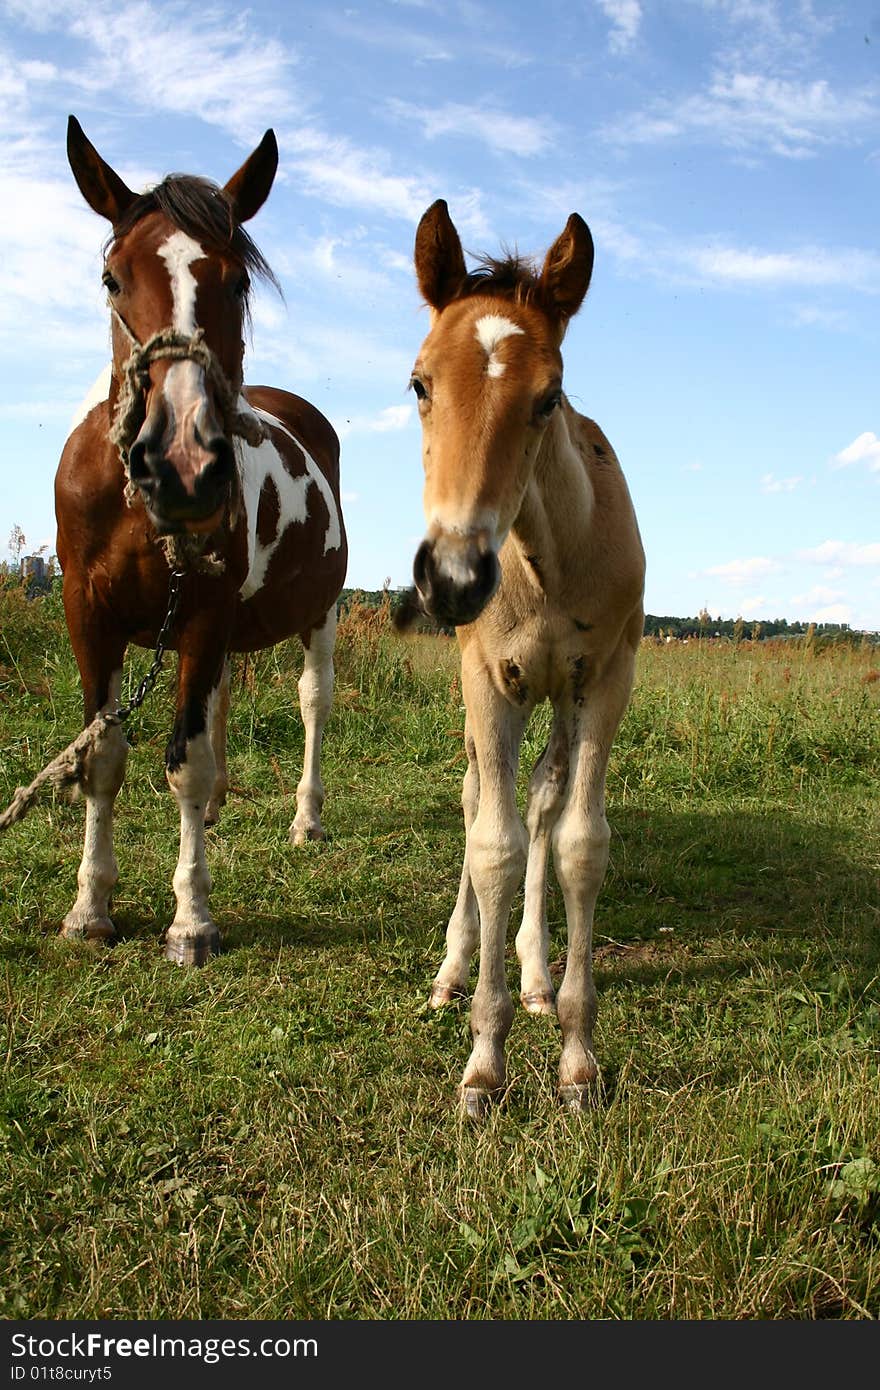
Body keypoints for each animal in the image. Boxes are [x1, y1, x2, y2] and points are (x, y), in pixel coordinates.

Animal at [54, 116, 346, 967]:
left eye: (238, 281)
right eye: (112, 278)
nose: (183, 463)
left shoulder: (205, 613)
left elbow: (183, 764)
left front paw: (191, 919)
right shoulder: (89, 618)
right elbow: (102, 758)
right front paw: (90, 908)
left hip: (317, 616)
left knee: (312, 702)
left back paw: (305, 818)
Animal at [405, 198, 645, 1117]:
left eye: (550, 397)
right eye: (419, 384)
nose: (452, 577)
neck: (546, 562)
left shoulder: (605, 680)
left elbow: (577, 841)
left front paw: (577, 1059)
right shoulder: (487, 683)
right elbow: (493, 846)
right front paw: (483, 1067)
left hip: (558, 696)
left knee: (542, 799)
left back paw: (538, 976)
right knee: (479, 799)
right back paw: (452, 967)